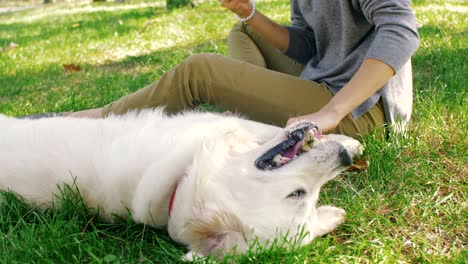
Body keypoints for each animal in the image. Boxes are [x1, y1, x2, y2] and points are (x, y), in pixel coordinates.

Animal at [0, 109, 362, 260]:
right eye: (298, 194)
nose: (344, 158)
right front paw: (349, 141)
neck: (180, 181)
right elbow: (268, 127)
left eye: (309, 200)